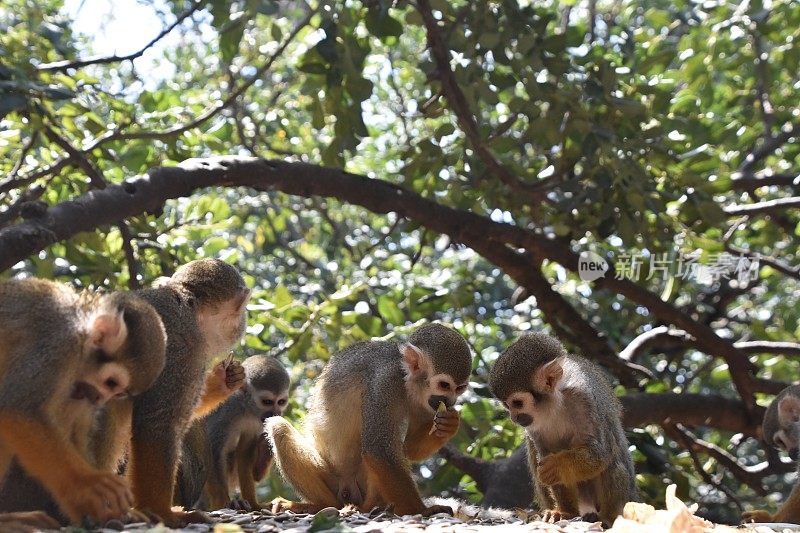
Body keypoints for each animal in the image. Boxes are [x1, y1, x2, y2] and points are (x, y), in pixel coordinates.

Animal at [0, 276, 166, 524]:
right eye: (111, 383)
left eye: (118, 393)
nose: (98, 399)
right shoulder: (59, 345)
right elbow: (16, 409)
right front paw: (87, 486)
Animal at [175, 356, 290, 510]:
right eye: (267, 402)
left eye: (281, 402)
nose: (275, 413)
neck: (246, 407)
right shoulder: (227, 409)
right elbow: (214, 449)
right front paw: (223, 501)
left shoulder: (257, 422)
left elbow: (245, 454)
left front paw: (253, 503)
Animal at [266, 320, 472, 516]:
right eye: (444, 385)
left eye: (460, 388)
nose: (450, 401)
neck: (407, 380)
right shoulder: (384, 381)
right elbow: (379, 449)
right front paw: (420, 510)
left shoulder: (427, 403)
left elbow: (407, 450)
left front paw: (449, 425)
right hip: (332, 478)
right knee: (279, 427)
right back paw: (322, 505)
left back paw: (372, 506)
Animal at [488, 332, 636, 524]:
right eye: (507, 406)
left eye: (517, 403)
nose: (514, 417)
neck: (555, 401)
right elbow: (545, 455)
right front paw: (565, 512)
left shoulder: (582, 398)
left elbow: (601, 454)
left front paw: (557, 465)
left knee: (612, 460)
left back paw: (609, 518)